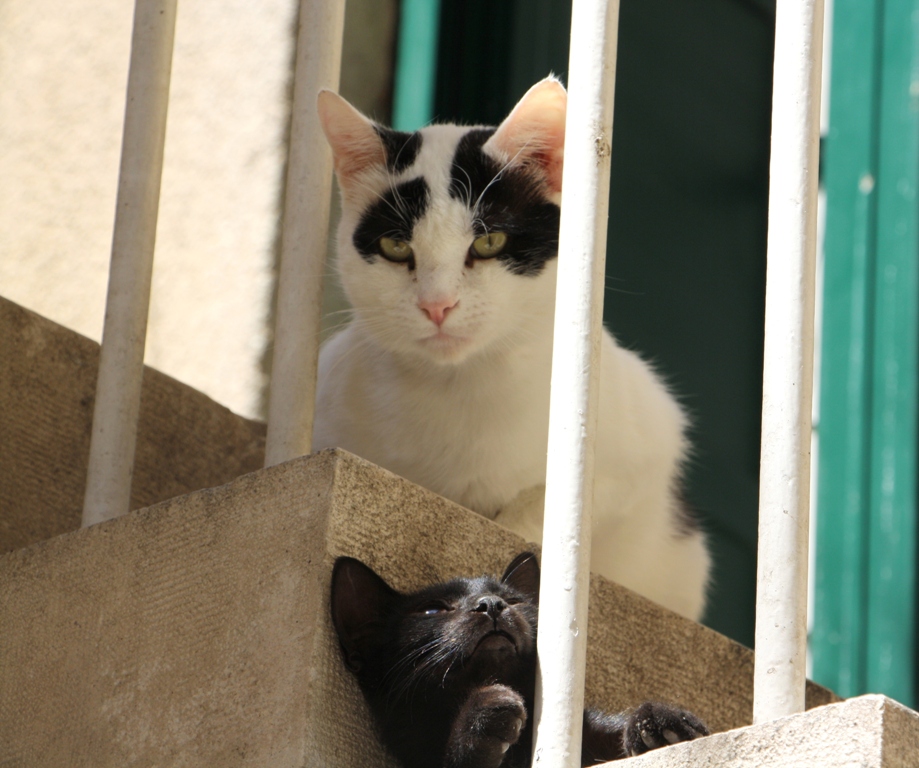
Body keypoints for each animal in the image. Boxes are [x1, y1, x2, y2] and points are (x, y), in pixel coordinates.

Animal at [316, 78, 712, 616]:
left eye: (489, 243)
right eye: (396, 248)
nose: (437, 305)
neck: (461, 391)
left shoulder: (643, 450)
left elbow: (537, 514)